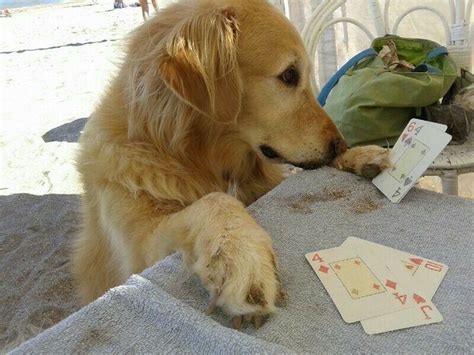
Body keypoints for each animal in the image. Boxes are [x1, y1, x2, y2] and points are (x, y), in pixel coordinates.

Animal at [72, 0, 386, 330]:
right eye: (289, 75)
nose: (340, 144)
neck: (191, 156)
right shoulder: (139, 250)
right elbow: (215, 201)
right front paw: (241, 255)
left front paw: (363, 155)